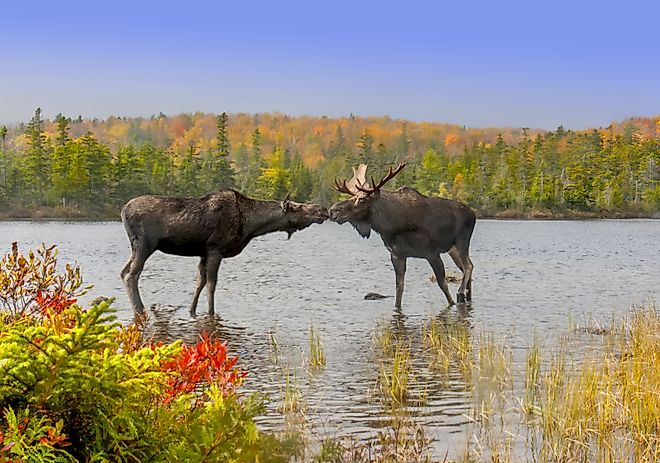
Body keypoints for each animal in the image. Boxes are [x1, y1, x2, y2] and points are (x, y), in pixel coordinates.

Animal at [120, 190, 329, 315]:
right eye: (297, 206)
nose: (323, 210)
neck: (252, 225)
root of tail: (122, 211)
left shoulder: (203, 252)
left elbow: (199, 282)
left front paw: (192, 310)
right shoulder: (215, 250)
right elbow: (211, 284)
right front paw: (211, 312)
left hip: (137, 247)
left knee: (123, 272)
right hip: (144, 245)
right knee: (131, 275)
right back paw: (140, 310)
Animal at [329, 163, 476, 308]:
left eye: (362, 199)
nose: (333, 210)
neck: (390, 226)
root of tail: (473, 214)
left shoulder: (432, 253)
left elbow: (443, 285)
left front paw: (452, 302)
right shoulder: (397, 255)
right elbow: (399, 288)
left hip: (462, 241)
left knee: (468, 266)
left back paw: (460, 293)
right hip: (452, 250)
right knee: (466, 268)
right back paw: (467, 296)